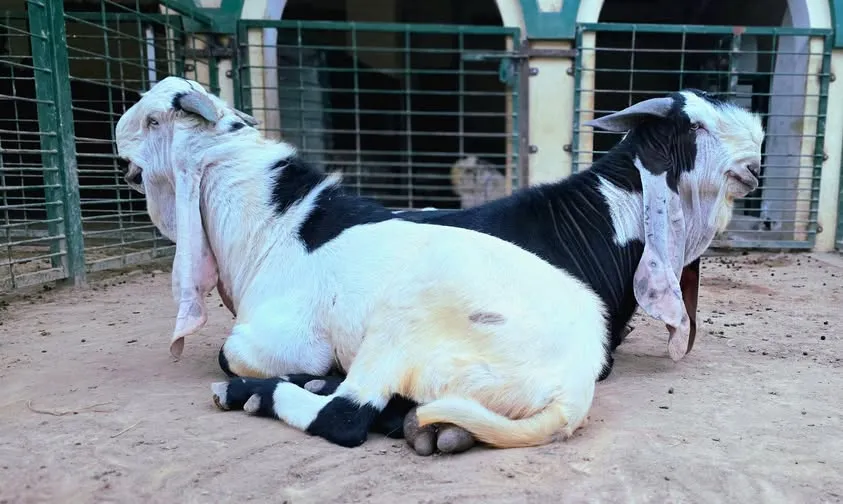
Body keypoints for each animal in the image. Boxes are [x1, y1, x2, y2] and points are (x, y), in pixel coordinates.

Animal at [115, 77, 613, 453]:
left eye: (153, 119)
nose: (116, 145)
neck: (273, 222)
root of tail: (571, 388)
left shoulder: (290, 335)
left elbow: (230, 354)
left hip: (406, 318)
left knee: (347, 416)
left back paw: (255, 395)